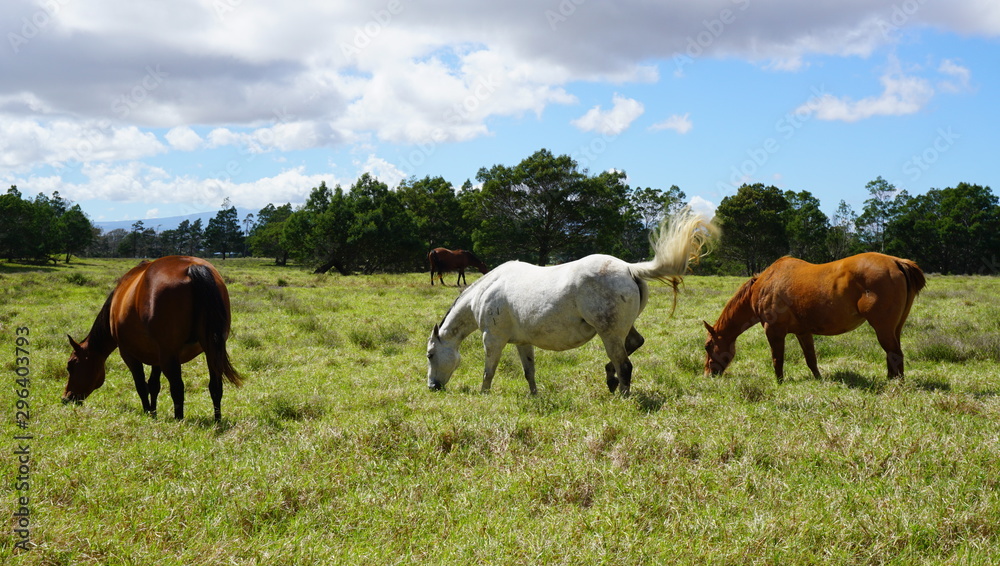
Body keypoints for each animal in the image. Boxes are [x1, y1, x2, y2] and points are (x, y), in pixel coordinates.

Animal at [64, 258, 242, 422]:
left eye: (71, 365)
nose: (65, 398)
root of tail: (192, 267)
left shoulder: (129, 354)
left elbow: (141, 385)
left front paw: (147, 412)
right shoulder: (157, 356)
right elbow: (153, 385)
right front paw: (153, 412)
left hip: (170, 355)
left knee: (177, 387)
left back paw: (179, 420)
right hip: (211, 349)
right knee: (215, 386)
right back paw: (217, 421)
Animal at [426, 209, 716, 394]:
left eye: (430, 354)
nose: (432, 387)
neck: (485, 292)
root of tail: (629, 268)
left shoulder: (492, 339)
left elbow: (489, 371)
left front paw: (484, 394)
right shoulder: (522, 342)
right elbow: (529, 371)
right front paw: (534, 395)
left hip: (609, 333)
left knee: (624, 365)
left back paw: (622, 394)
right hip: (622, 329)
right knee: (634, 344)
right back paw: (610, 379)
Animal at [704, 254, 920, 384]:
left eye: (707, 346)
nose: (707, 374)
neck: (764, 284)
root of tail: (896, 261)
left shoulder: (774, 331)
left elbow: (777, 359)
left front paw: (779, 382)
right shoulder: (803, 332)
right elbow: (811, 360)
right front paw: (818, 379)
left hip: (883, 329)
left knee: (895, 354)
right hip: (895, 329)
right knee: (893, 355)